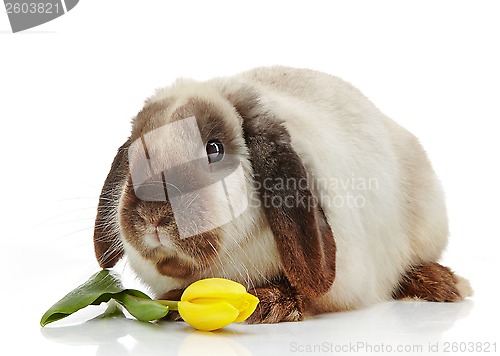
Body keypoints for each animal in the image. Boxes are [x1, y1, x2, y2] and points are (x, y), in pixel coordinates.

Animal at [94, 66, 472, 322]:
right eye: (136, 152)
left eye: (214, 149)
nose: (153, 214)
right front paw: (174, 303)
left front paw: (270, 303)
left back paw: (441, 284)